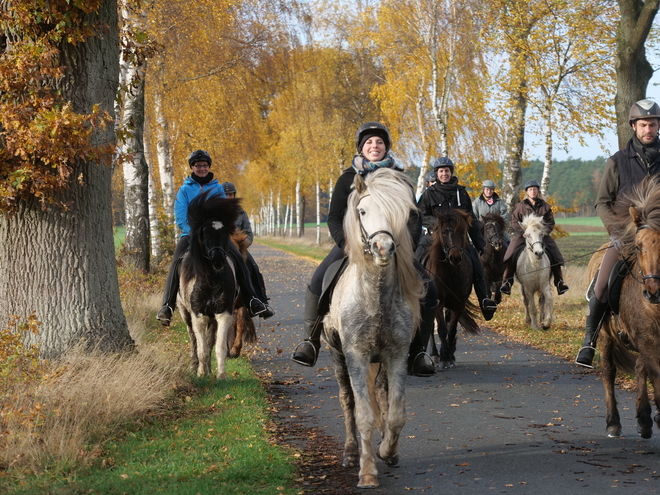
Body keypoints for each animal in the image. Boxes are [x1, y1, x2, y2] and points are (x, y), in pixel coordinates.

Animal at [178, 192, 258, 382]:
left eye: (224, 233)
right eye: (205, 232)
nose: (218, 260)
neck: (210, 280)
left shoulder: (225, 312)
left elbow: (219, 345)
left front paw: (221, 374)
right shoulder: (198, 315)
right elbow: (202, 348)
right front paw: (201, 373)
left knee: (211, 338)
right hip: (184, 312)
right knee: (193, 337)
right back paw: (195, 366)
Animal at [324, 168, 426, 488]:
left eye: (403, 214)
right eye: (362, 211)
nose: (383, 247)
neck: (375, 296)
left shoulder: (397, 355)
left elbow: (395, 415)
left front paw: (388, 452)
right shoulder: (355, 356)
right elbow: (364, 415)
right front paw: (367, 471)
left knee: (380, 393)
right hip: (337, 356)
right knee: (347, 402)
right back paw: (350, 453)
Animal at [428, 208, 480, 368]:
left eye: (463, 232)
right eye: (444, 232)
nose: (455, 257)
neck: (451, 272)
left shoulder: (458, 304)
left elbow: (451, 329)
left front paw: (449, 356)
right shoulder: (438, 303)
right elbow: (442, 329)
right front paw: (444, 358)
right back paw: (434, 354)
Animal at [592, 176, 660, 440]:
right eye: (639, 246)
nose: (653, 292)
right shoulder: (649, 342)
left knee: (640, 368)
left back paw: (645, 419)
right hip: (605, 336)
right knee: (608, 372)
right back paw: (613, 422)